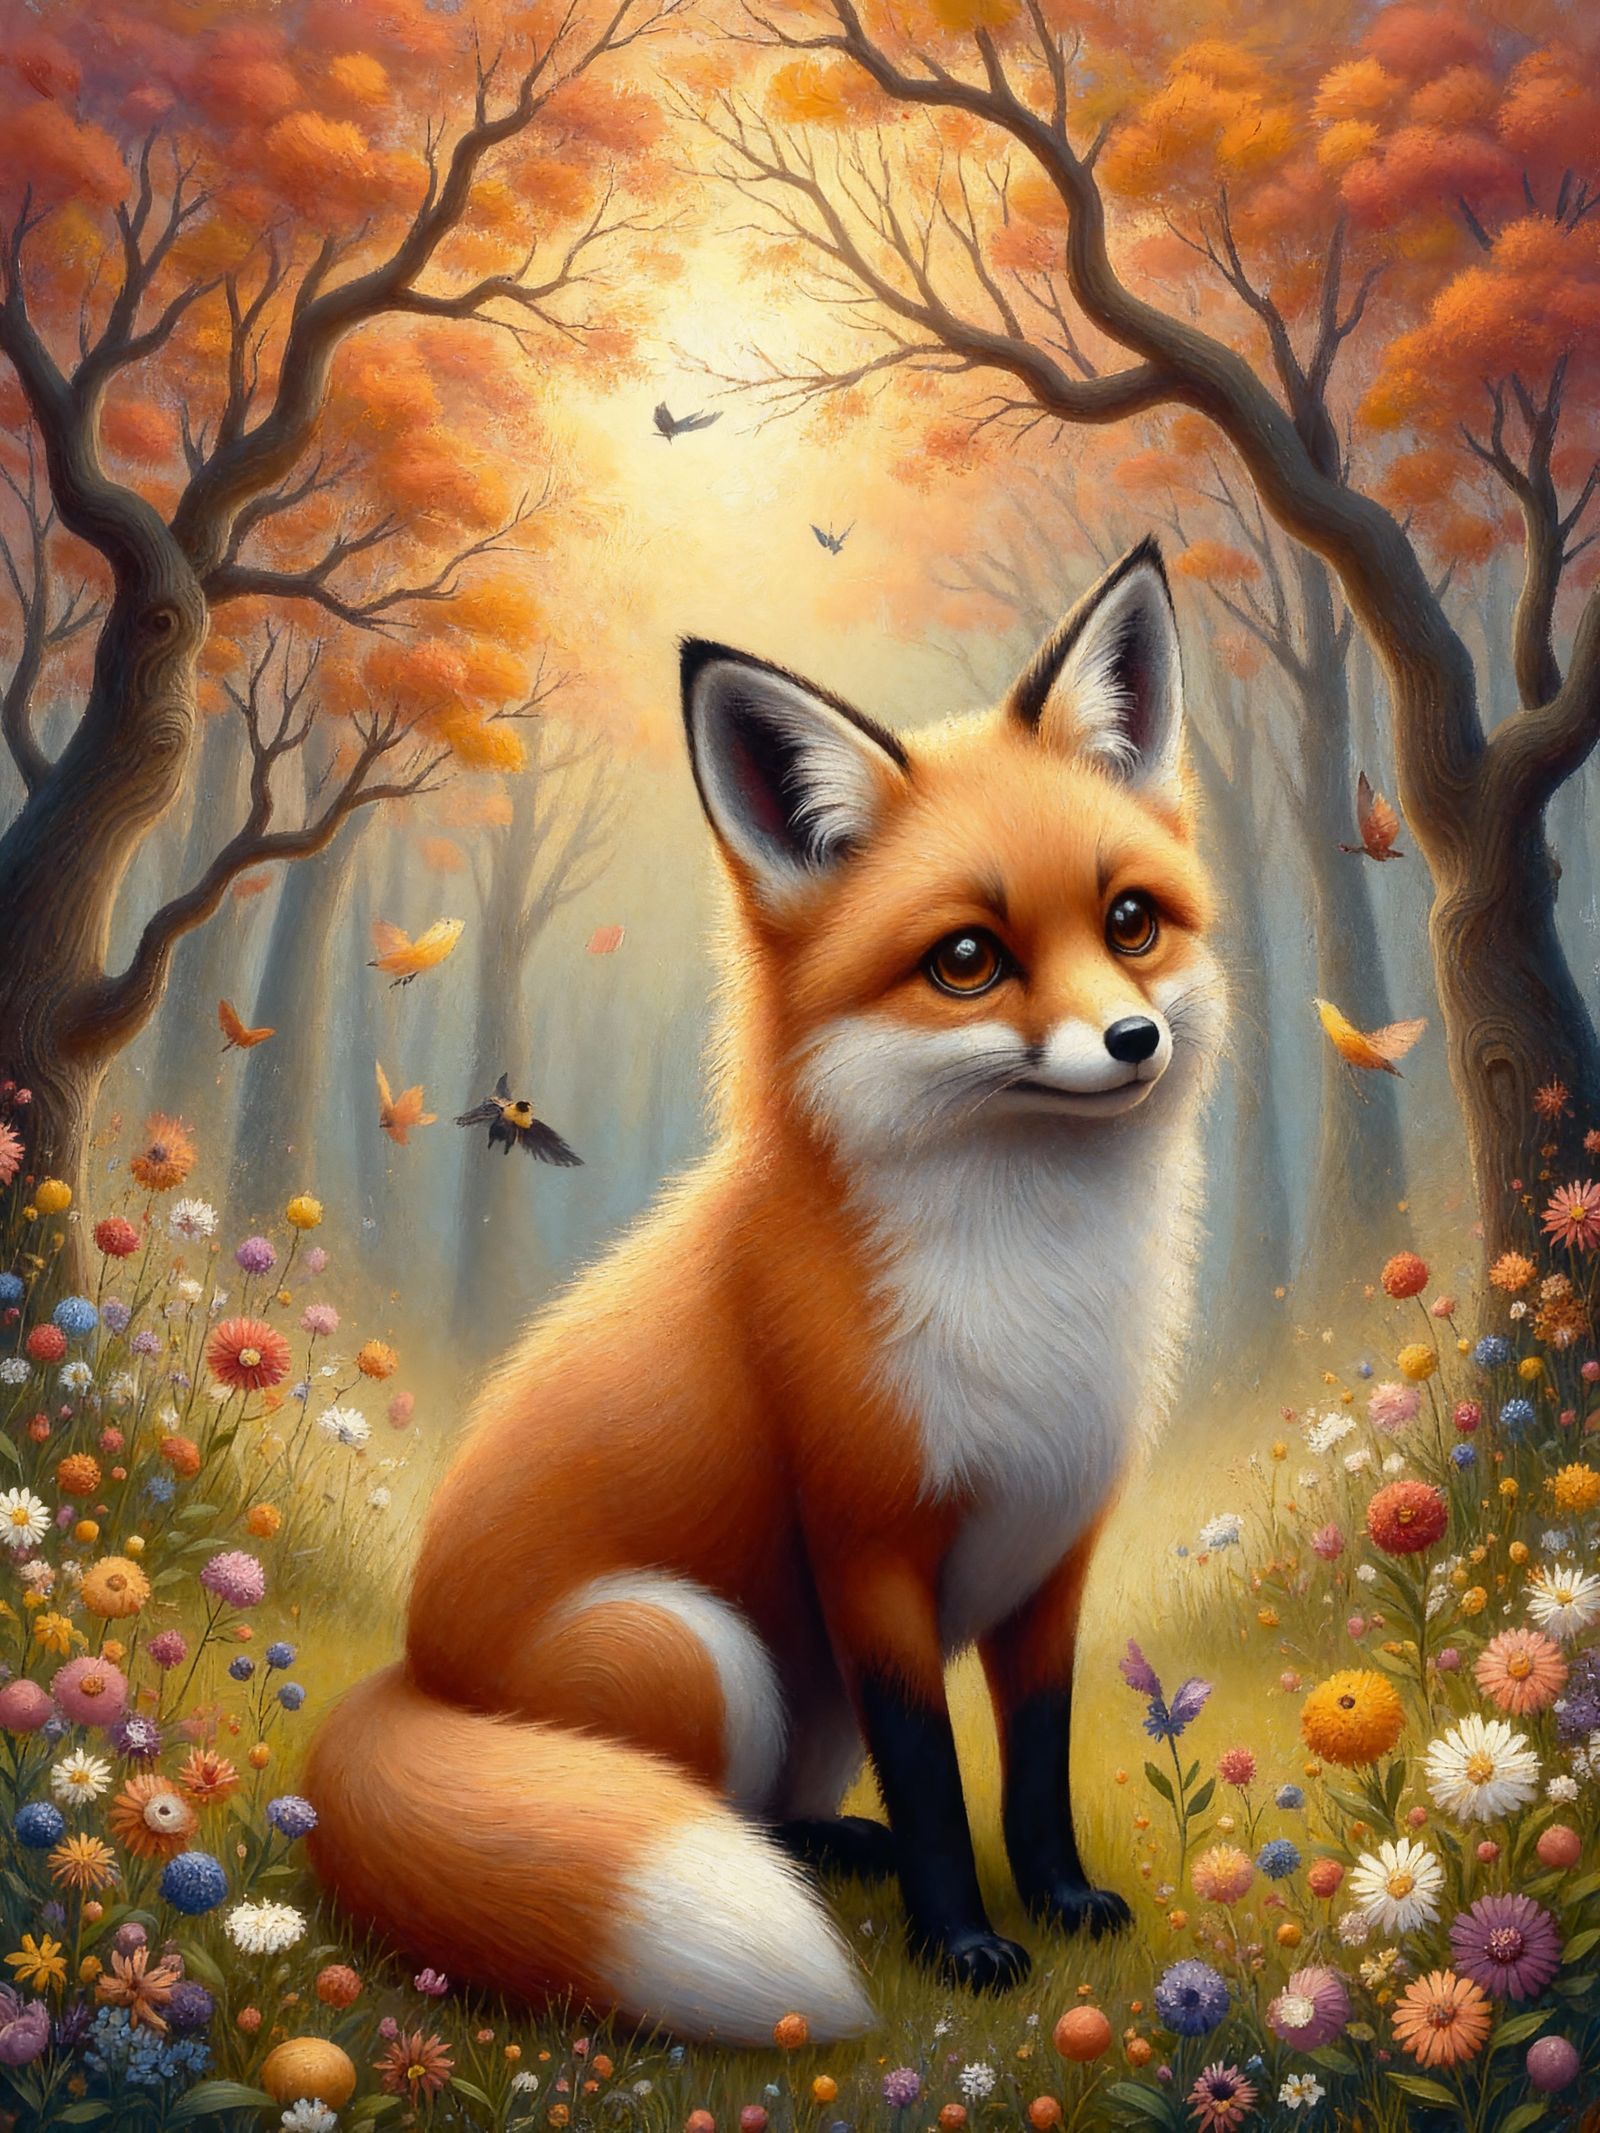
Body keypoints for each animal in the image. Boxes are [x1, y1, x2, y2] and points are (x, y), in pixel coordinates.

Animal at [305, 538, 1225, 2046]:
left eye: (1131, 923)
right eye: (967, 960)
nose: (1134, 1038)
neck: (1031, 1282)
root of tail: (409, 1673)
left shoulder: (1052, 1552)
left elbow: (1032, 1764)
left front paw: (1060, 1901)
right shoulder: (867, 1550)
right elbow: (934, 1776)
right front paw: (962, 1944)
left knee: (781, 1813)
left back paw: (832, 1848)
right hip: (694, 1647)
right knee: (719, 1809)